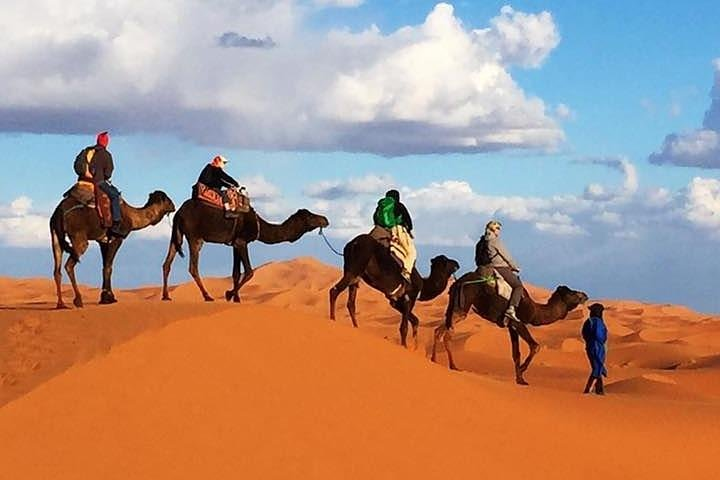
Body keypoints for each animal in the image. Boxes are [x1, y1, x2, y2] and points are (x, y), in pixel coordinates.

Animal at [162, 201, 328, 302]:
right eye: (310, 216)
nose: (325, 219)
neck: (259, 225)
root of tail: (179, 212)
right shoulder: (242, 242)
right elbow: (249, 272)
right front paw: (229, 294)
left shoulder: (235, 244)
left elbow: (236, 272)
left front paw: (236, 298)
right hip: (195, 237)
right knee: (193, 267)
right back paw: (207, 296)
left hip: (176, 235)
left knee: (167, 263)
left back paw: (166, 296)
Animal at [330, 233, 458, 348]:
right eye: (447, 261)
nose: (457, 263)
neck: (423, 285)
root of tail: (352, 243)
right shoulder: (409, 299)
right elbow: (404, 327)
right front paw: (405, 347)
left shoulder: (395, 301)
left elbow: (415, 321)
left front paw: (415, 347)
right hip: (355, 268)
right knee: (334, 290)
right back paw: (332, 319)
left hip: (354, 274)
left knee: (351, 302)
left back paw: (356, 327)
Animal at [430, 268, 588, 384]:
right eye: (572, 293)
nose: (585, 295)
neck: (533, 310)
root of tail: (456, 283)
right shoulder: (518, 322)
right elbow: (535, 346)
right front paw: (522, 371)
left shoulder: (511, 326)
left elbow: (516, 353)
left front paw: (520, 379)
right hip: (463, 306)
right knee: (448, 333)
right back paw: (453, 366)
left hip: (453, 307)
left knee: (438, 330)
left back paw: (434, 359)